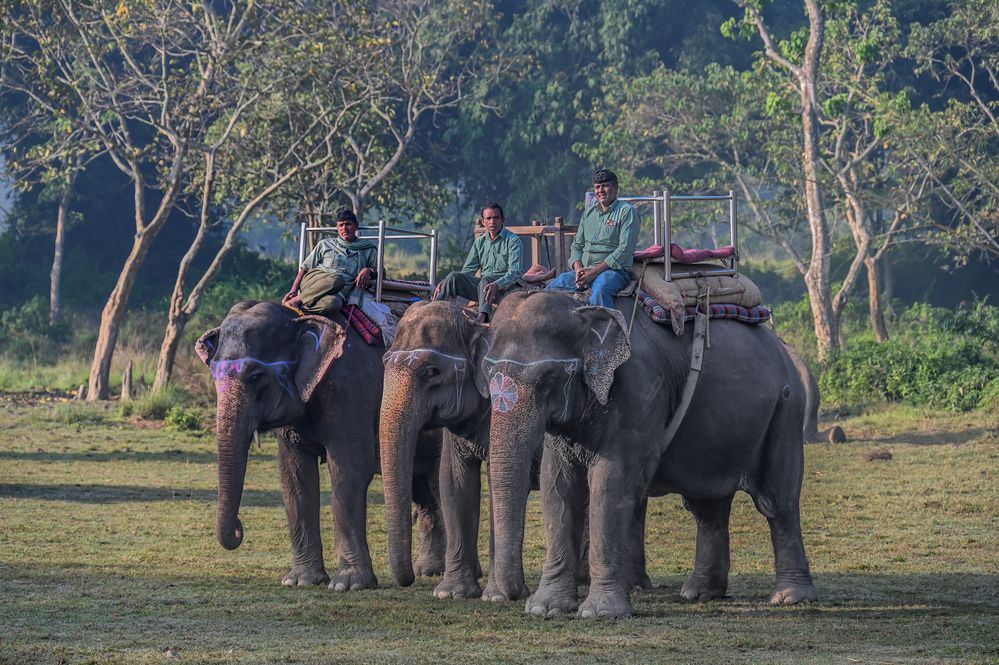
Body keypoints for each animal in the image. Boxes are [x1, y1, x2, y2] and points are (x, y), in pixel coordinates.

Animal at [196, 302, 446, 592]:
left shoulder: (349, 392)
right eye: (213, 374)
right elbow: (294, 477)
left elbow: (349, 471)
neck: (299, 317)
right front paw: (300, 581)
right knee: (423, 489)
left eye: (256, 376)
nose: (239, 527)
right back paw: (429, 570)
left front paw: (349, 585)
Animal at [378, 300, 652, 600]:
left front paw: (495, 596)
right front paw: (452, 593)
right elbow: (454, 482)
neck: (473, 320)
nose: (408, 579)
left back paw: (628, 584)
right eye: (384, 361)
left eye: (431, 371)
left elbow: (495, 483)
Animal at [480, 290, 816, 616]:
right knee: (707, 508)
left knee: (777, 503)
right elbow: (558, 486)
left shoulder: (640, 390)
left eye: (548, 377)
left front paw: (600, 613)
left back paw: (789, 598)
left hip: (786, 411)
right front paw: (545, 609)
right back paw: (700, 593)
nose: (513, 594)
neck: (582, 305)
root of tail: (782, 348)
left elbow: (610, 483)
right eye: (487, 373)